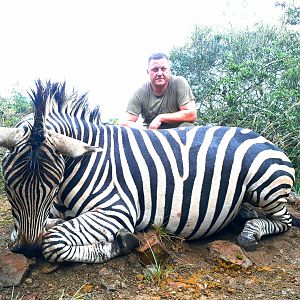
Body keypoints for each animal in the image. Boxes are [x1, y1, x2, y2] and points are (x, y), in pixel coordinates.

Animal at [0, 81, 298, 264]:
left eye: (52, 187)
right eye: (8, 188)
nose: (27, 250)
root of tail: (262, 137)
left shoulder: (116, 210)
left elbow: (53, 242)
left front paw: (122, 243)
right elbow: (29, 230)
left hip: (265, 185)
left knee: (283, 220)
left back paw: (250, 232)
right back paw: (243, 214)